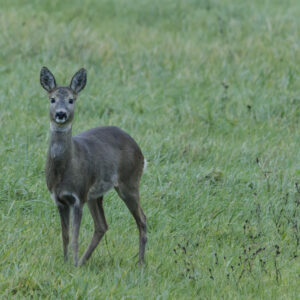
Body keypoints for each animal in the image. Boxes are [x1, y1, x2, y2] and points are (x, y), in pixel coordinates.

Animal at [39, 67, 148, 266]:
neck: (64, 171)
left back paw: (140, 263)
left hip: (129, 182)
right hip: (95, 195)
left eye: (71, 99)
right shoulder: (59, 199)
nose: (61, 114)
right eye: (52, 99)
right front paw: (66, 262)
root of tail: (139, 150)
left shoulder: (78, 196)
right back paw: (83, 262)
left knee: (142, 218)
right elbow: (65, 236)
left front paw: (72, 264)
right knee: (102, 225)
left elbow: (75, 236)